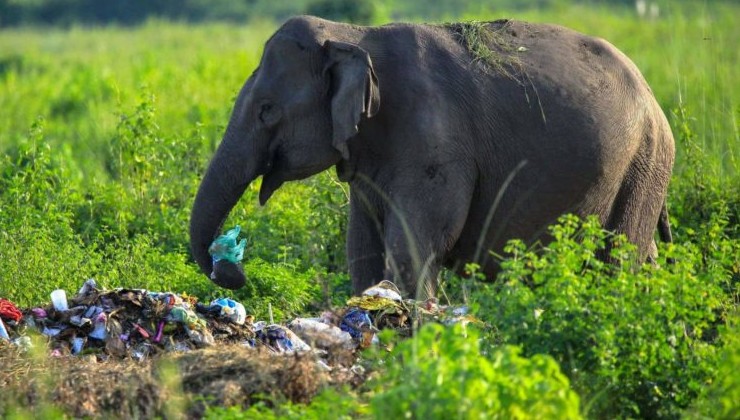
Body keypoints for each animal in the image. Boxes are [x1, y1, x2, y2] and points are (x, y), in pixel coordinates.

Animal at [188, 16, 672, 296]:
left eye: (267, 110)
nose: (232, 270)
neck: (350, 35)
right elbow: (361, 248)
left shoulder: (435, 142)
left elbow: (414, 245)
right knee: (643, 259)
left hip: (643, 164)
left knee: (620, 262)